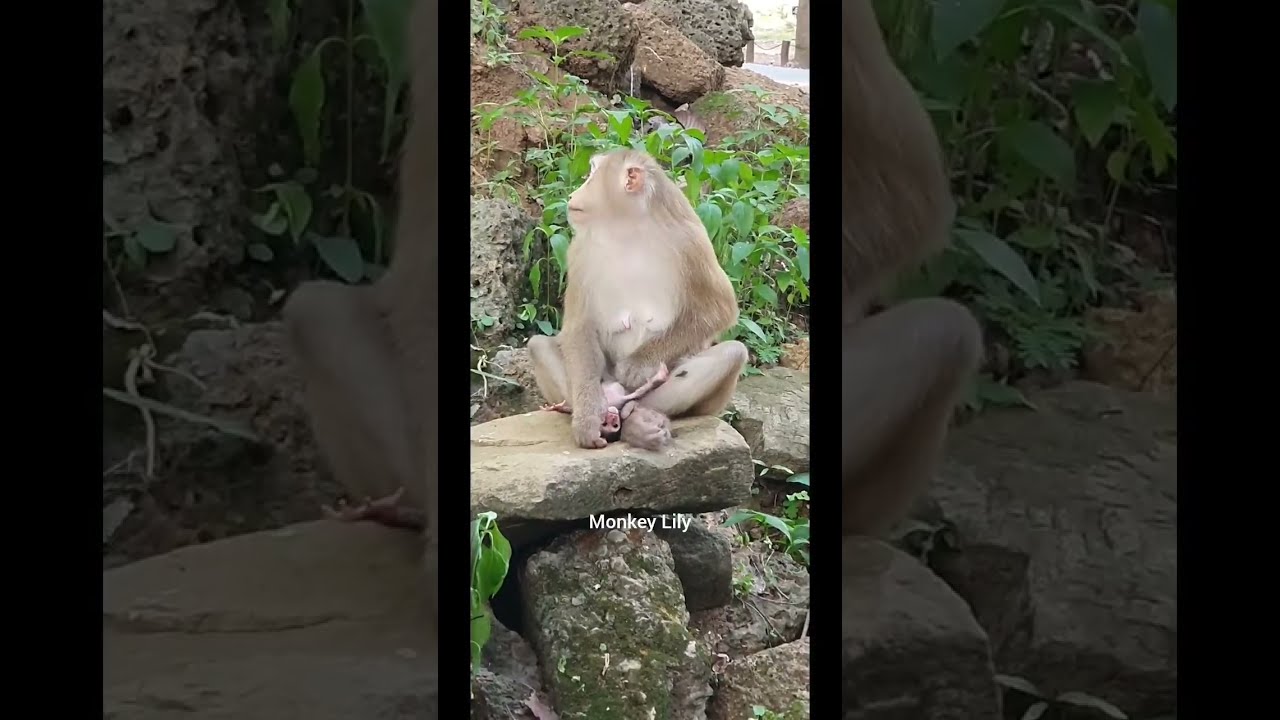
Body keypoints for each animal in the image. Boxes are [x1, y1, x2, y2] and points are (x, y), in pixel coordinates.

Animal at [526, 149, 748, 452]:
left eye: (592, 174)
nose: (574, 193)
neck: (627, 228)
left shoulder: (691, 241)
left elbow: (719, 308)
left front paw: (638, 365)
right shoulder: (579, 250)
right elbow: (578, 327)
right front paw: (587, 419)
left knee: (733, 353)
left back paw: (638, 420)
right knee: (538, 345)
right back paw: (606, 418)